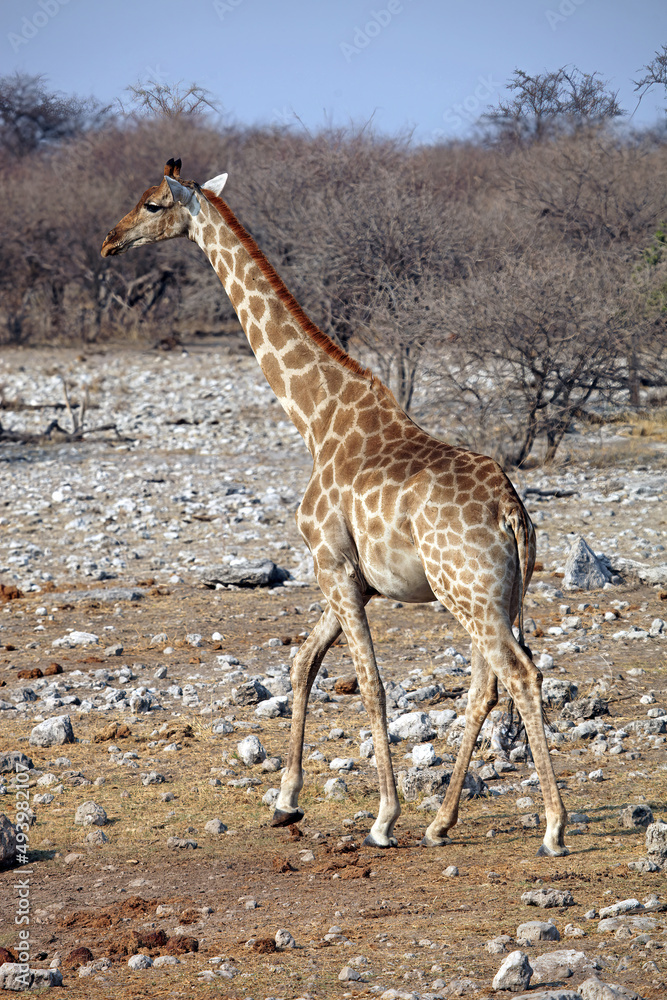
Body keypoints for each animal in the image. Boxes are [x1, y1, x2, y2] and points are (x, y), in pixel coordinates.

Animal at [101, 158, 569, 856]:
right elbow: (301, 664)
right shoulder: (347, 576)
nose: (110, 241)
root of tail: (513, 512)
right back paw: (442, 822)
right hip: (497, 593)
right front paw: (286, 801)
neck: (316, 419)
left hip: (468, 592)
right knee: (488, 682)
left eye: (154, 203)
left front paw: (382, 818)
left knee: (520, 675)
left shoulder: (333, 566)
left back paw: (553, 828)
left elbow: (370, 685)